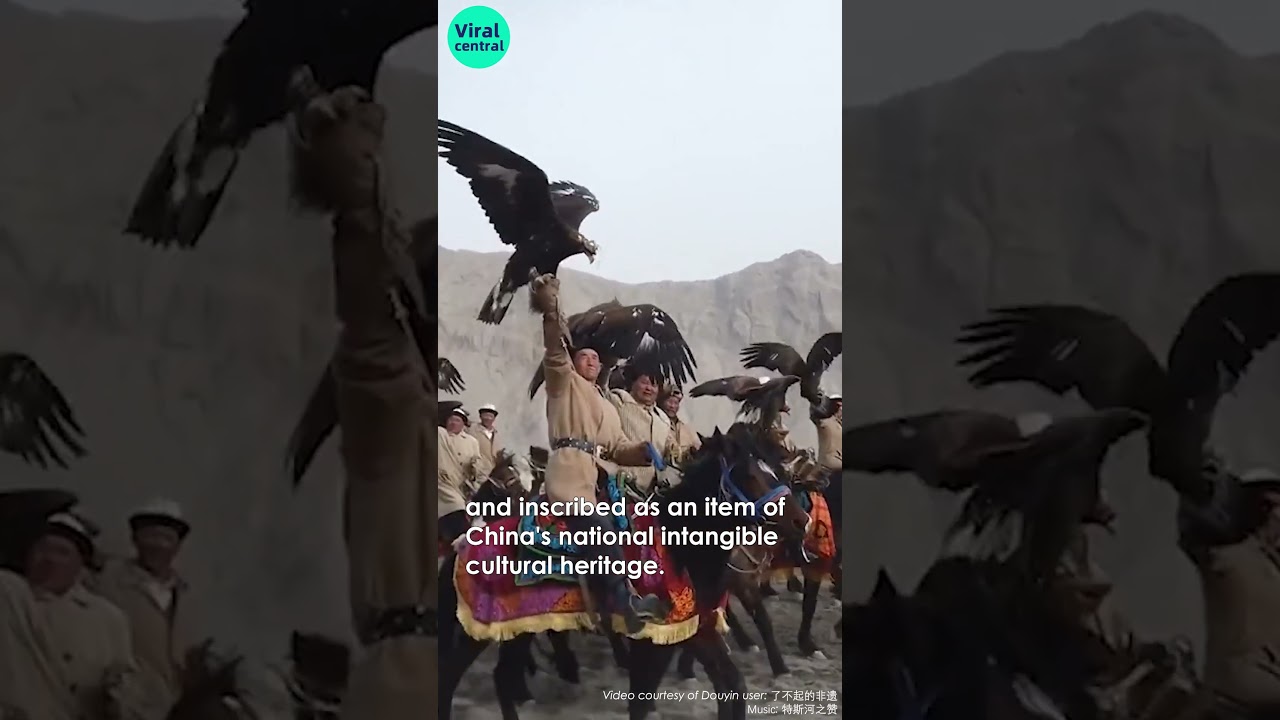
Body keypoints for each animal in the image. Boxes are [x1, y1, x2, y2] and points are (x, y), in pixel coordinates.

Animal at [439, 423, 812, 720]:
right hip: (480, 630)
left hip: (521, 628)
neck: (678, 544)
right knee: (453, 674)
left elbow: (732, 683)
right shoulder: (656, 638)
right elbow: (641, 700)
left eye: (775, 470)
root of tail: (464, 541)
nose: (801, 521)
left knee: (502, 678)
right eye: (749, 475)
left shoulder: (693, 628)